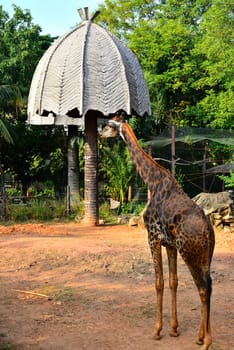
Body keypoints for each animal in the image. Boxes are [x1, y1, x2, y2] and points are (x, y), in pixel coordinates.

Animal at [99, 110, 215, 350]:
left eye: (108, 125)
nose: (99, 135)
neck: (151, 181)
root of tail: (209, 231)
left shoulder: (152, 237)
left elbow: (159, 283)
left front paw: (157, 330)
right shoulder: (169, 244)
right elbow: (173, 282)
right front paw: (173, 329)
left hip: (190, 253)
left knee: (202, 288)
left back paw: (206, 341)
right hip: (205, 255)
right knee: (208, 286)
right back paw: (200, 336)